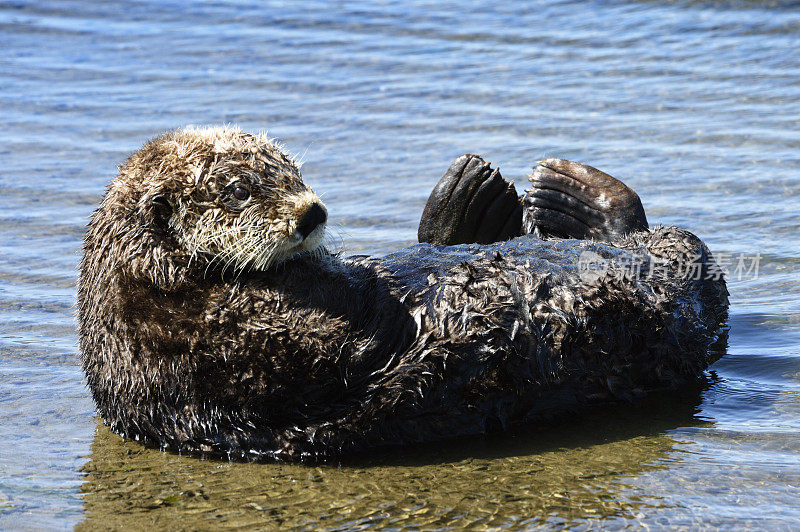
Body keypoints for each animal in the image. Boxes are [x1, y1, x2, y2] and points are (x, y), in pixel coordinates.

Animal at [78, 125, 728, 462]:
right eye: (240, 189)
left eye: (291, 169)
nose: (313, 211)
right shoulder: (227, 342)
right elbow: (361, 331)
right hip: (677, 297)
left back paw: (513, 194)